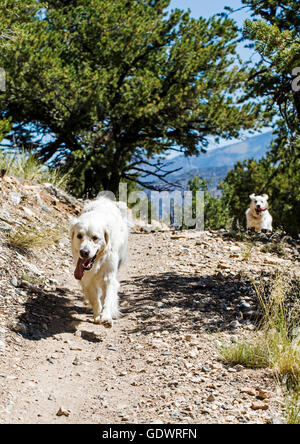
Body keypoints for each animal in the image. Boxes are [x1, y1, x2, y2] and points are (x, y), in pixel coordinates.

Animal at [71, 197, 131, 326]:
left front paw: (106, 317)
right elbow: (95, 298)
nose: (84, 252)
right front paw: (98, 315)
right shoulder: (87, 278)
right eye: (79, 236)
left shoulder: (109, 276)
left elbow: (107, 298)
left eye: (95, 238)